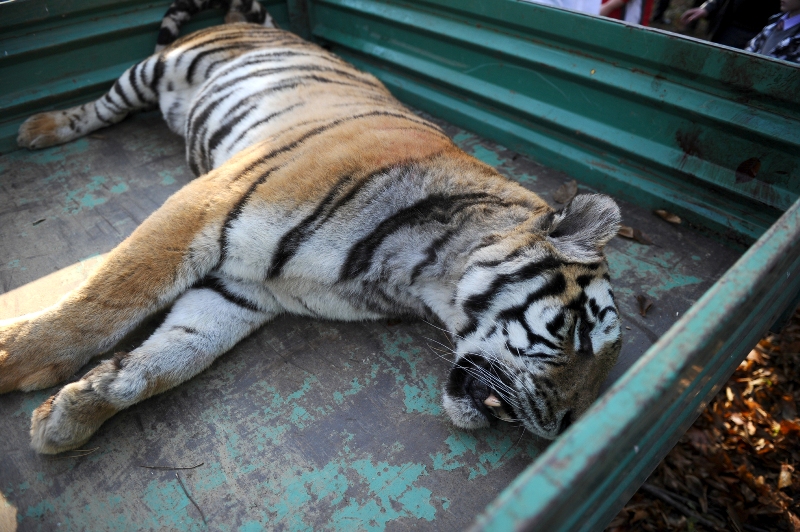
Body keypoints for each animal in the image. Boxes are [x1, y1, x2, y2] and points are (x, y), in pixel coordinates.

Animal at [1, 12, 624, 456]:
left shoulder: (247, 290)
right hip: (158, 67)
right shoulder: (207, 205)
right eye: (579, 333)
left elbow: (174, 355)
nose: (565, 427)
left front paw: (72, 414)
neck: (415, 279)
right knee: (104, 107)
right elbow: (105, 300)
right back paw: (40, 127)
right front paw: (14, 357)